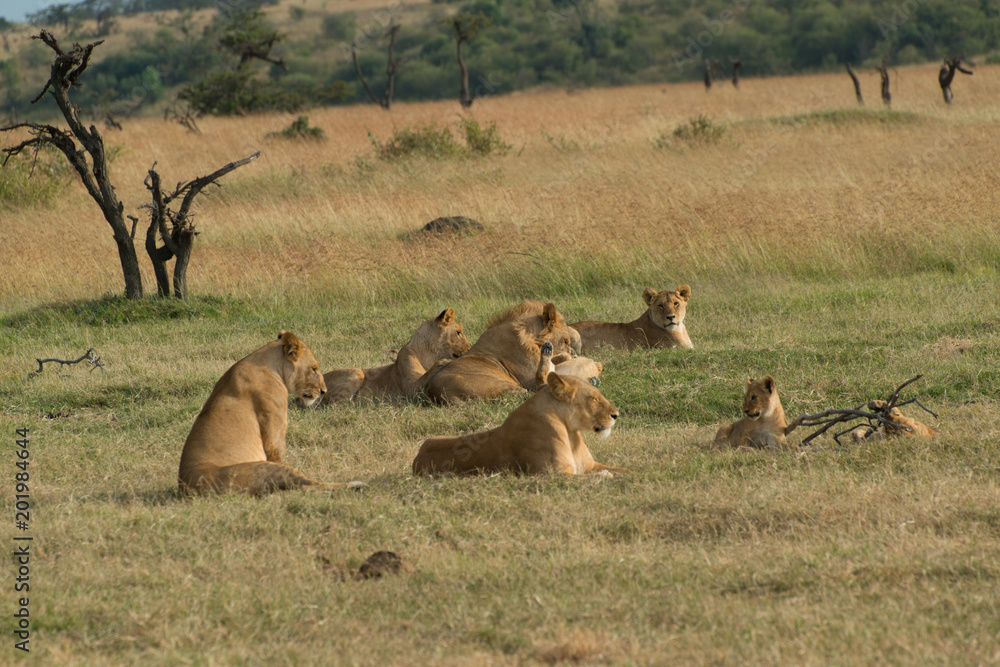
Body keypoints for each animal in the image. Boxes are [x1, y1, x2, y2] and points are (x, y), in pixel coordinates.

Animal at [178, 331, 363, 496]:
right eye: (314, 369)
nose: (324, 391)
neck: (270, 366)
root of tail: (190, 490)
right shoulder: (274, 423)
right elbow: (276, 449)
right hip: (263, 468)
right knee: (306, 485)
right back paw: (356, 485)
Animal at [314, 308, 470, 405]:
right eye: (458, 333)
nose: (469, 348)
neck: (430, 355)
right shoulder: (410, 388)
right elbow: (427, 374)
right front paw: (444, 362)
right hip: (357, 372)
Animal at [413, 372, 626, 475]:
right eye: (594, 399)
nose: (616, 415)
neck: (570, 431)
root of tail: (416, 460)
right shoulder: (552, 475)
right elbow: (600, 478)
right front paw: (606, 477)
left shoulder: (590, 465)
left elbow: (623, 471)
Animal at [425, 300, 581, 404]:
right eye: (565, 341)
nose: (574, 353)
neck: (531, 337)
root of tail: (440, 395)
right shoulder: (528, 378)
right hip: (501, 385)